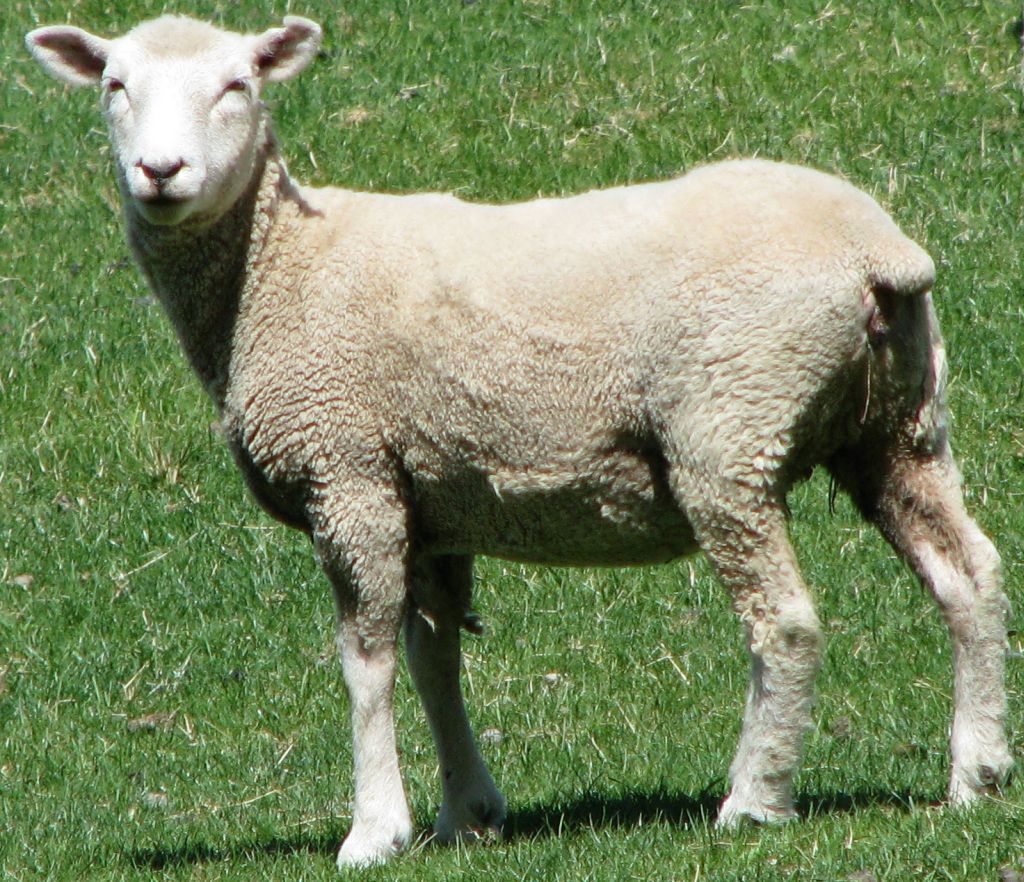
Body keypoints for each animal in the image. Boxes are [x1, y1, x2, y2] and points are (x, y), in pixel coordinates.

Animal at [25, 13, 1015, 868]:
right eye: (114, 85)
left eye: (238, 85)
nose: (160, 171)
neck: (278, 271)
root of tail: (875, 251)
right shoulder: (427, 495)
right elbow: (435, 658)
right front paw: (465, 813)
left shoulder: (350, 473)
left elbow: (367, 658)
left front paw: (374, 830)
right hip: (897, 423)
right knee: (967, 574)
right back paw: (977, 771)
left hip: (729, 430)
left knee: (785, 619)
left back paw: (754, 800)